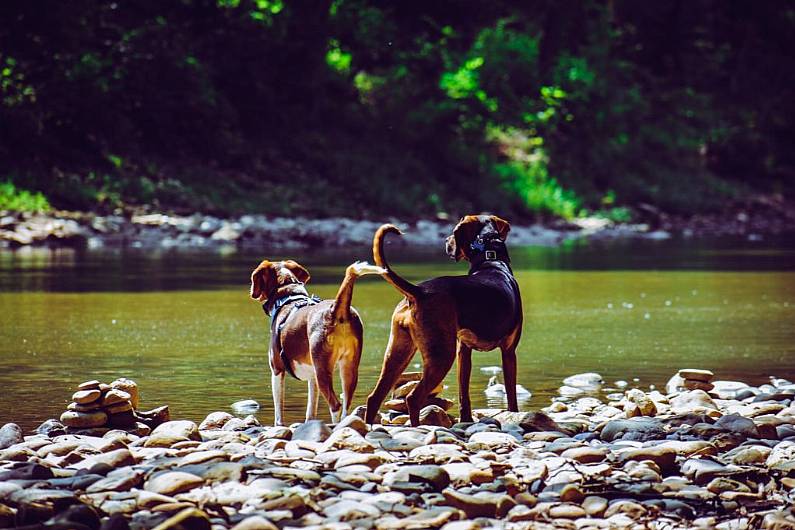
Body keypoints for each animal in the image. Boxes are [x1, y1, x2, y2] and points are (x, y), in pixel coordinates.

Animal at [250, 258, 384, 422]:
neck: (287, 297)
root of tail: (336, 310)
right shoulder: (312, 377)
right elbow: (311, 410)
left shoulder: (277, 370)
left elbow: (279, 412)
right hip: (349, 368)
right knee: (346, 404)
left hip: (323, 371)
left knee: (335, 405)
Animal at [366, 214, 524, 424]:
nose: (446, 241)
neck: (491, 260)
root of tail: (419, 291)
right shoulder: (509, 351)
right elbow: (511, 394)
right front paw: (514, 415)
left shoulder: (463, 351)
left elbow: (464, 395)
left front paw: (466, 419)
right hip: (441, 355)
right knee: (413, 398)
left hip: (398, 352)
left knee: (374, 397)